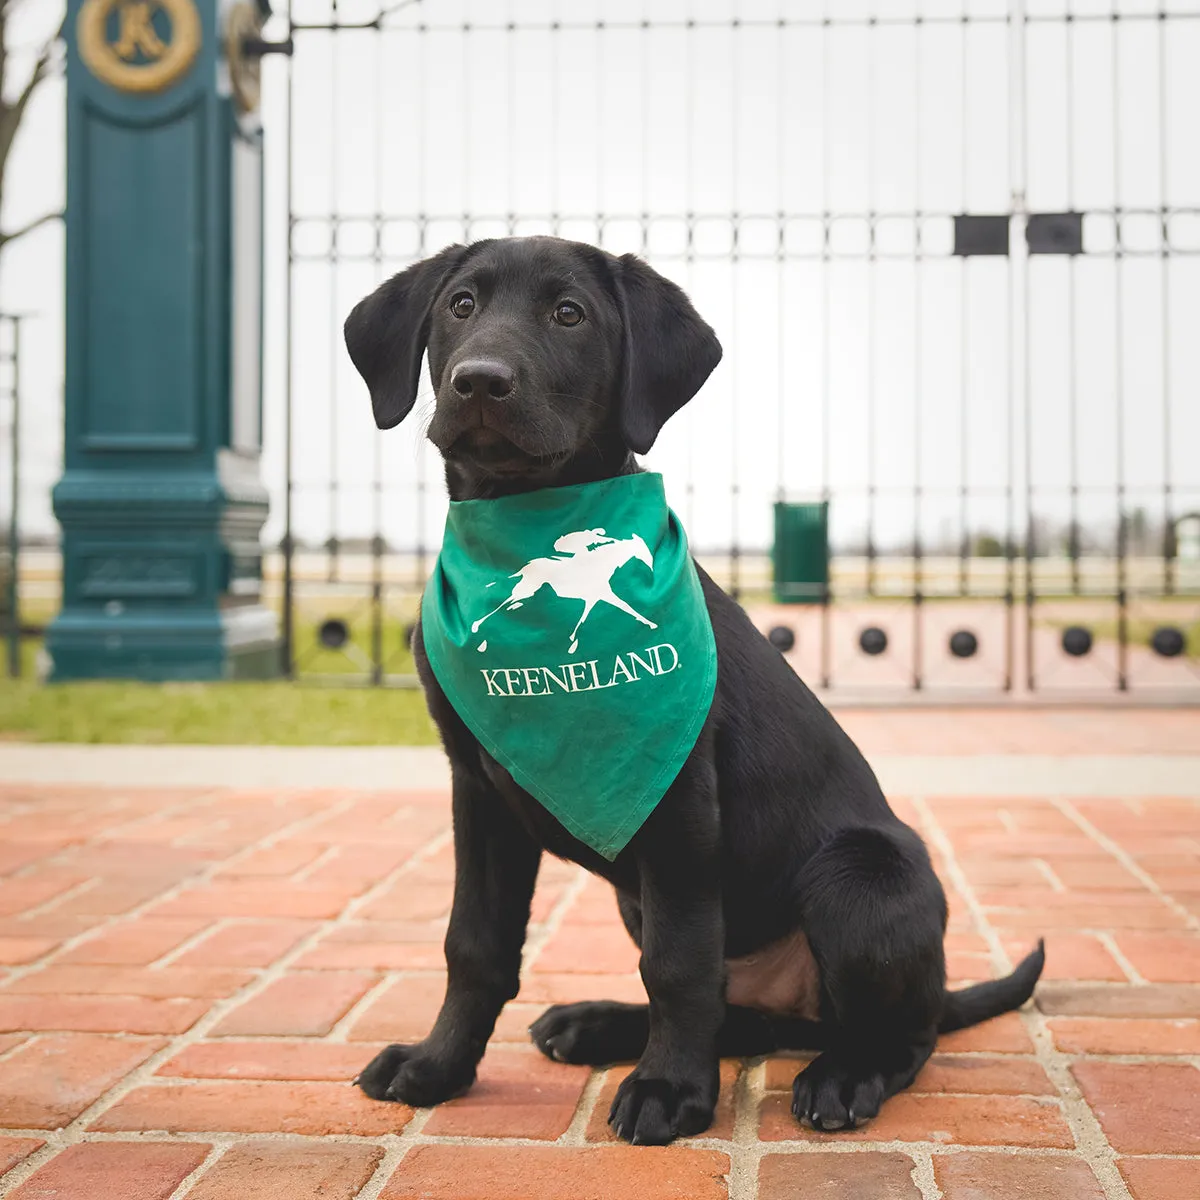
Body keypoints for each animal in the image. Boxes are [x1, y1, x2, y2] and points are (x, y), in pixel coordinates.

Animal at [343, 234, 1046, 1142]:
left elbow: (677, 963)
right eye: (460, 306)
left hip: (857, 874)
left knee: (898, 1034)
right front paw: (436, 1066)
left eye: (568, 314)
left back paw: (842, 1075)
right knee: (739, 1015)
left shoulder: (680, 800)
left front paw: (669, 1090)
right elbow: (475, 945)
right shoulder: (479, 790)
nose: (481, 380)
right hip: (648, 902)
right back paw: (598, 1023)